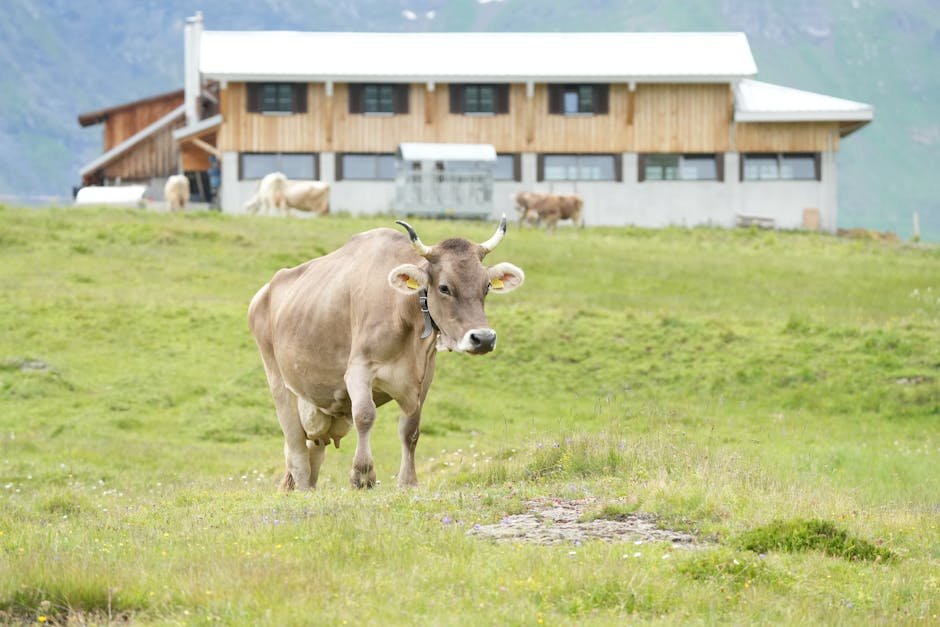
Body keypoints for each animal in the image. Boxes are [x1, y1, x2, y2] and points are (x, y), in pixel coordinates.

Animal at [248, 217, 525, 491]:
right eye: (445, 288)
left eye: (486, 286)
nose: (484, 338)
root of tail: (264, 292)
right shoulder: (358, 369)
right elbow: (365, 415)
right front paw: (362, 475)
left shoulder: (424, 378)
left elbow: (410, 429)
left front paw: (408, 481)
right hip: (279, 383)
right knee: (295, 446)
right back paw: (304, 487)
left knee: (313, 448)